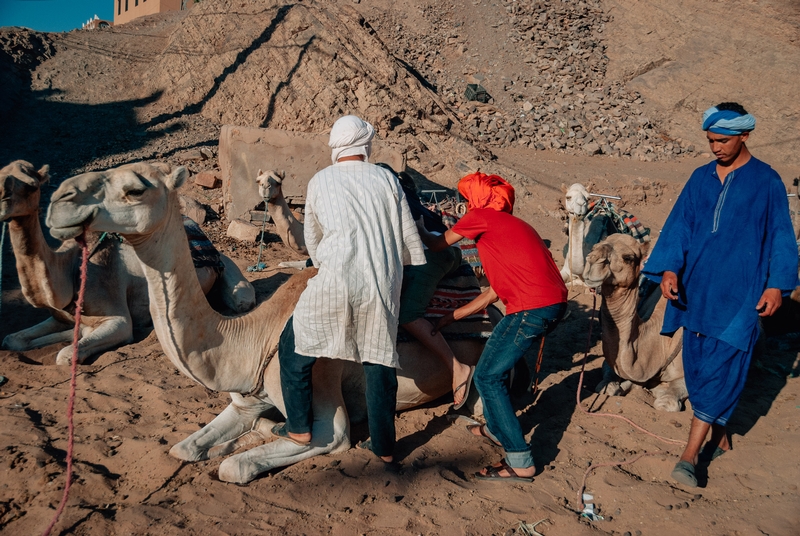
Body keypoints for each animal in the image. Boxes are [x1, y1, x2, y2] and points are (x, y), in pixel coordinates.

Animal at [0, 159, 256, 364]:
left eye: (31, 185)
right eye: (1, 175)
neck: (72, 270)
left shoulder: (119, 319)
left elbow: (65, 354)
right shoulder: (59, 316)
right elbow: (13, 339)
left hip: (229, 274)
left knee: (241, 299)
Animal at [47, 161, 490, 484]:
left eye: (135, 189)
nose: (58, 199)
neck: (257, 336)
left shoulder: (327, 414)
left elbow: (237, 466)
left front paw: (243, 446)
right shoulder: (245, 398)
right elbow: (184, 448)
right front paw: (232, 439)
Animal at [580, 232, 688, 412]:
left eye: (628, 258)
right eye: (595, 245)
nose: (593, 259)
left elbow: (668, 402)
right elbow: (608, 382)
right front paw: (614, 386)